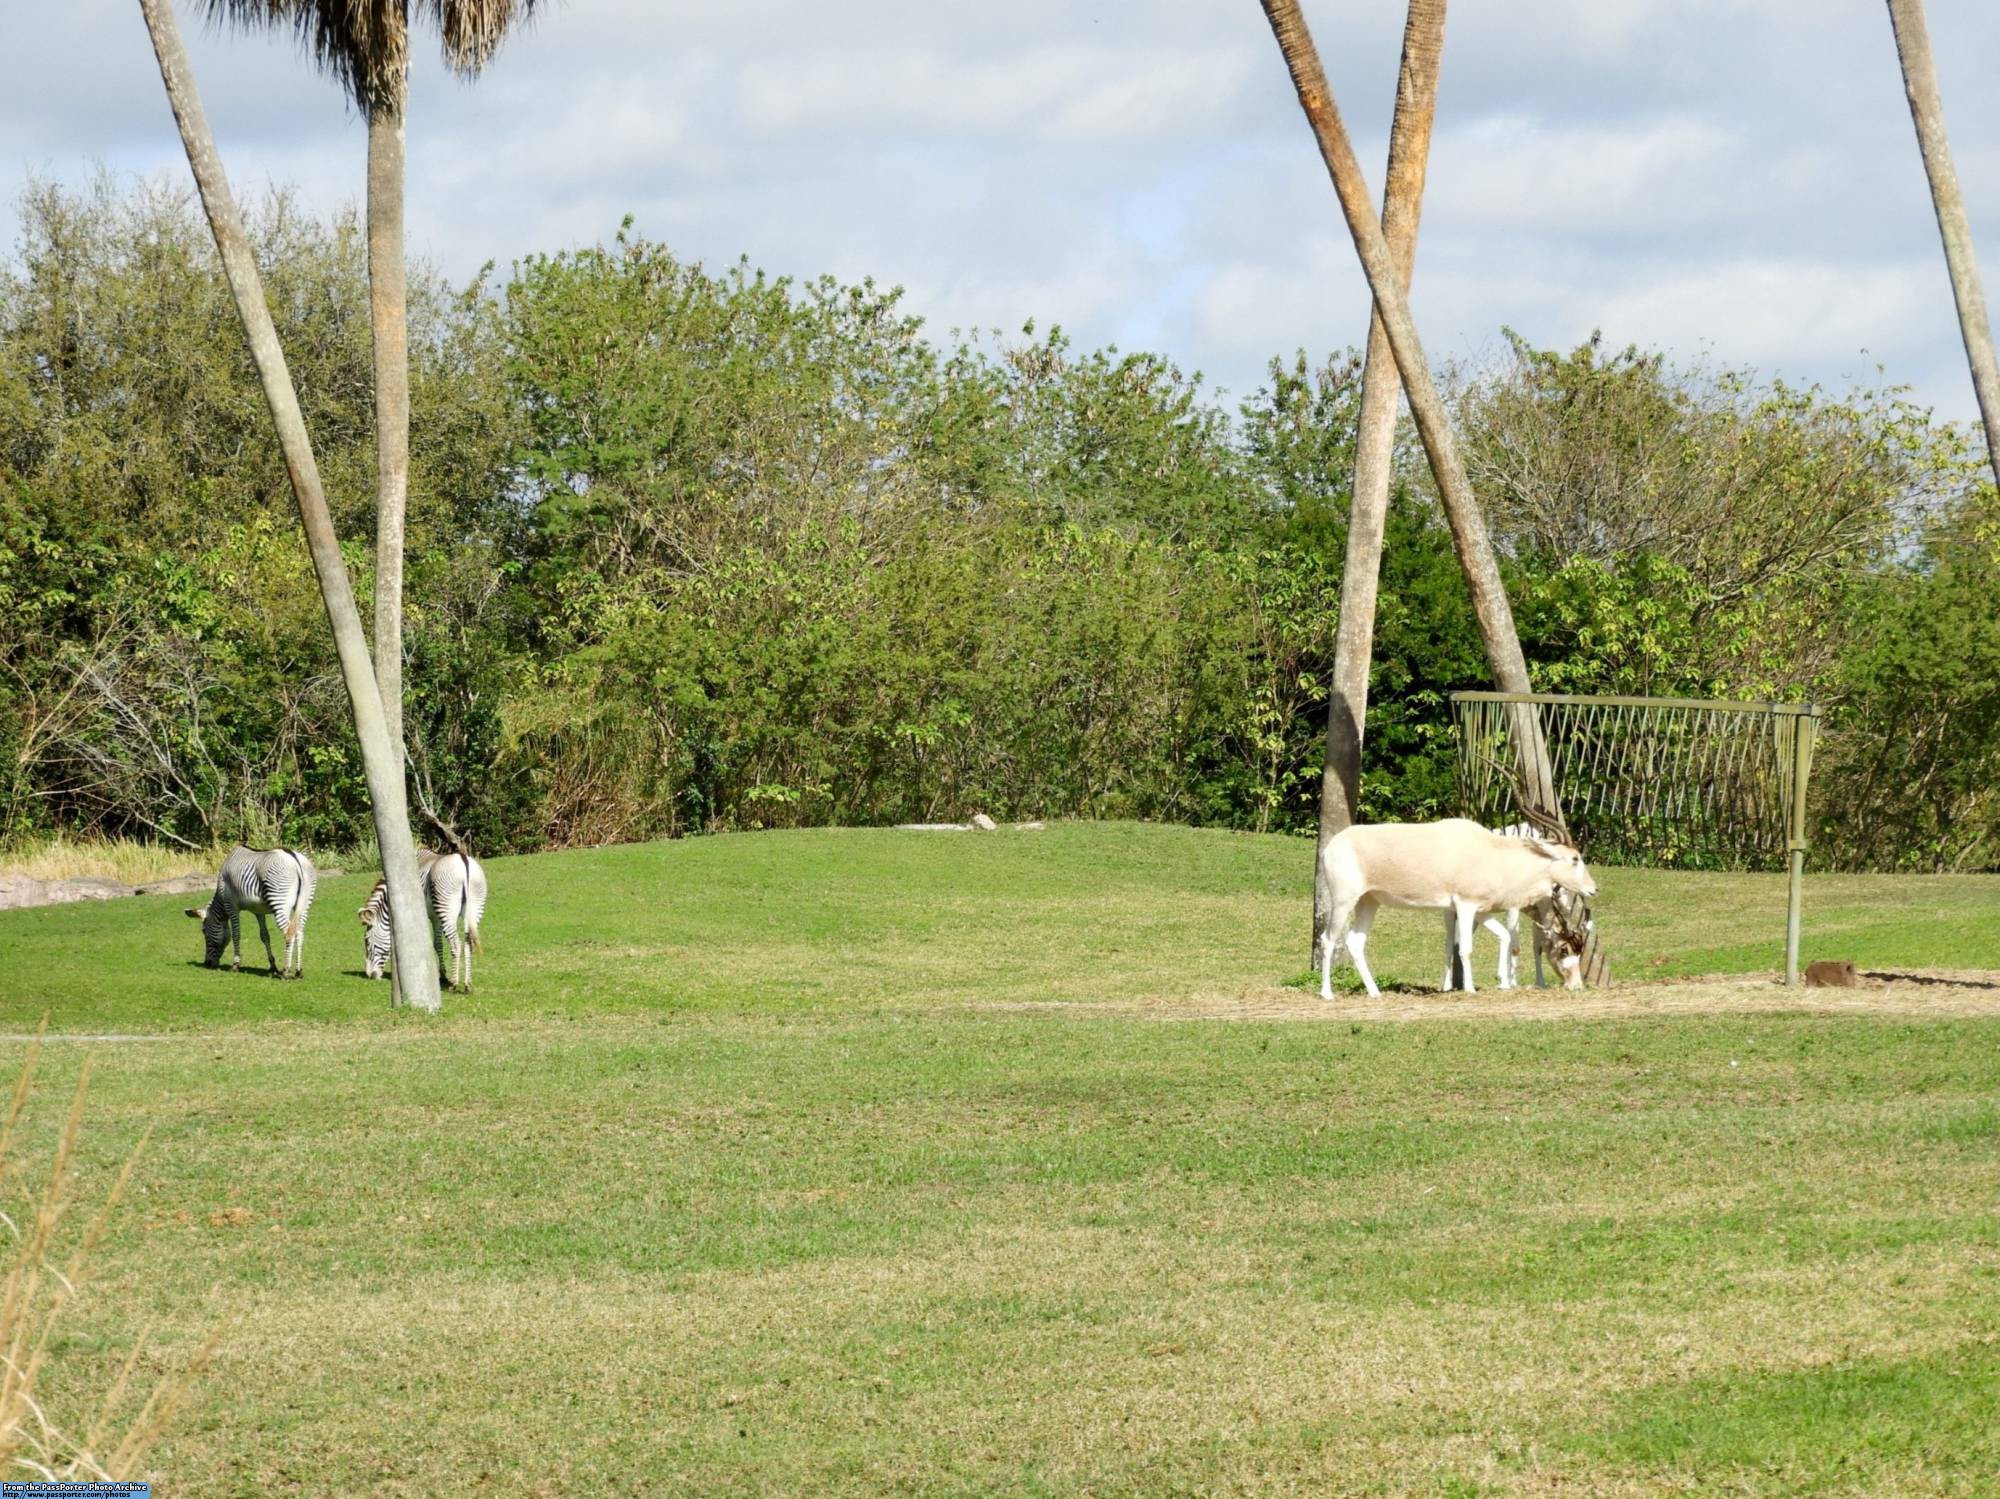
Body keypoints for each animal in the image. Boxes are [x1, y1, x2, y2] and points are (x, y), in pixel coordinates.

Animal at [185, 851, 316, 979]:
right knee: (299, 933)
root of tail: (295, 859)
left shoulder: (231, 906)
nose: (207, 964)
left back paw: (286, 971)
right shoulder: (259, 911)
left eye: (204, 931)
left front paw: (235, 965)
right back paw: (298, 971)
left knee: (289, 932)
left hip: (279, 901)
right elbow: (264, 936)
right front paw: (272, 966)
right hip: (304, 904)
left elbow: (236, 935)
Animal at [360, 851, 488, 991]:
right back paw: (467, 984)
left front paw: (442, 975)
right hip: (475, 905)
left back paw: (454, 983)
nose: (369, 975)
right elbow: (437, 944)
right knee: (468, 943)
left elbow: (435, 944)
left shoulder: (426, 916)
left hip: (446, 909)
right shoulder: (435, 917)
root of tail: (463, 860)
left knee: (455, 944)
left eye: (367, 941)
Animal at [1320, 815, 1600, 1003]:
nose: (1593, 889)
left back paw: (1375, 992)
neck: (1493, 853)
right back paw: (1327, 993)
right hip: (1344, 900)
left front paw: (1503, 982)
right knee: (1328, 939)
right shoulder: (1465, 905)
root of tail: (1331, 846)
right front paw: (1469, 988)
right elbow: (1465, 947)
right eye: (1575, 859)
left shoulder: (1481, 909)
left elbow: (1505, 936)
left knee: (1355, 942)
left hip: (1369, 901)